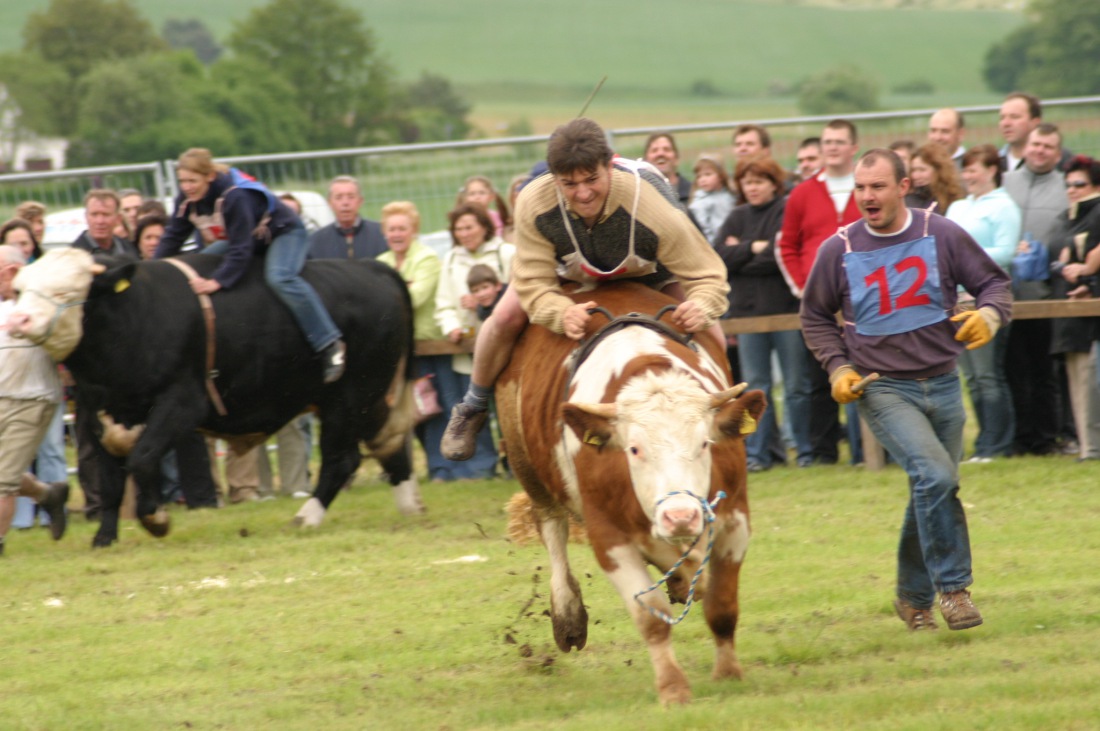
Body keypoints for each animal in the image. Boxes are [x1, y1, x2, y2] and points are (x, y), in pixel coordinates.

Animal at [8, 248, 420, 545]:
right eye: (20, 289)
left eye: (65, 292)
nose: (18, 320)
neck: (134, 315)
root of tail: (372, 268)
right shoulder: (98, 411)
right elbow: (110, 480)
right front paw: (104, 538)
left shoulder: (182, 404)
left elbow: (142, 459)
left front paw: (155, 518)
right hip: (368, 398)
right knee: (390, 445)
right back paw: (411, 506)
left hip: (351, 397)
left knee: (342, 460)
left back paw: (307, 517)